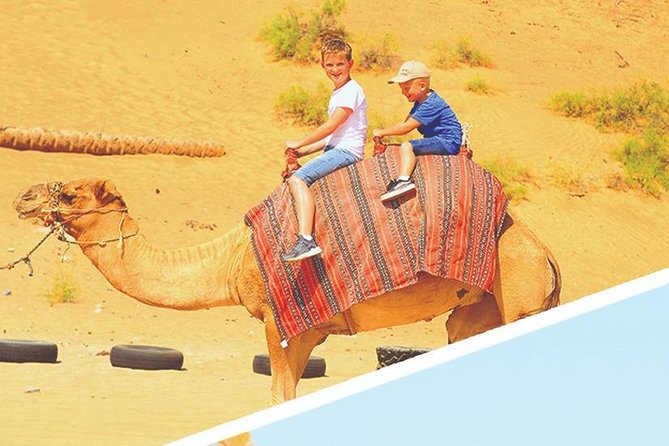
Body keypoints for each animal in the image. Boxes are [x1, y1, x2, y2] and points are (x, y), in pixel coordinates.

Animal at [13, 177, 560, 404]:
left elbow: (279, 394)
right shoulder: (308, 331)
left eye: (69, 194)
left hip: (520, 294)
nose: (22, 198)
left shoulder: (281, 322)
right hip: (480, 314)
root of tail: (546, 255)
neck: (232, 257)